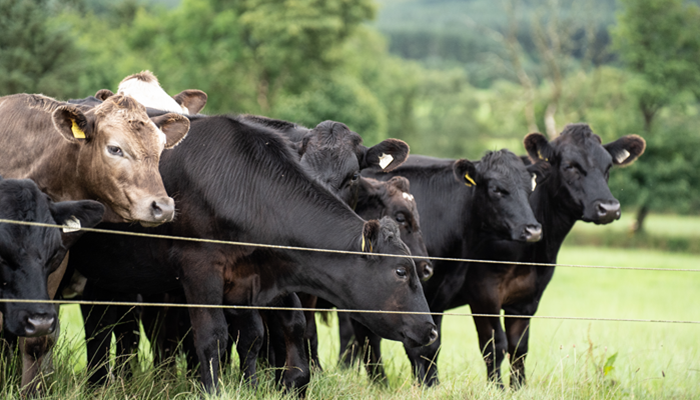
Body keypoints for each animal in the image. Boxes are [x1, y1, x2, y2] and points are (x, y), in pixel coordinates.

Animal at [67, 114, 438, 393]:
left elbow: (273, 332)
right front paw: (214, 390)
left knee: (105, 324)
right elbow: (212, 337)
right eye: (401, 271)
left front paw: (276, 384)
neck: (243, 187)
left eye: (355, 175)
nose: (432, 330)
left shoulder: (262, 274)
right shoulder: (199, 269)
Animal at [362, 148, 543, 384]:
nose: (533, 230)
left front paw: (432, 385)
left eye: (529, 189)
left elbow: (432, 345)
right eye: (497, 189)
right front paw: (421, 384)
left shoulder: (441, 294)